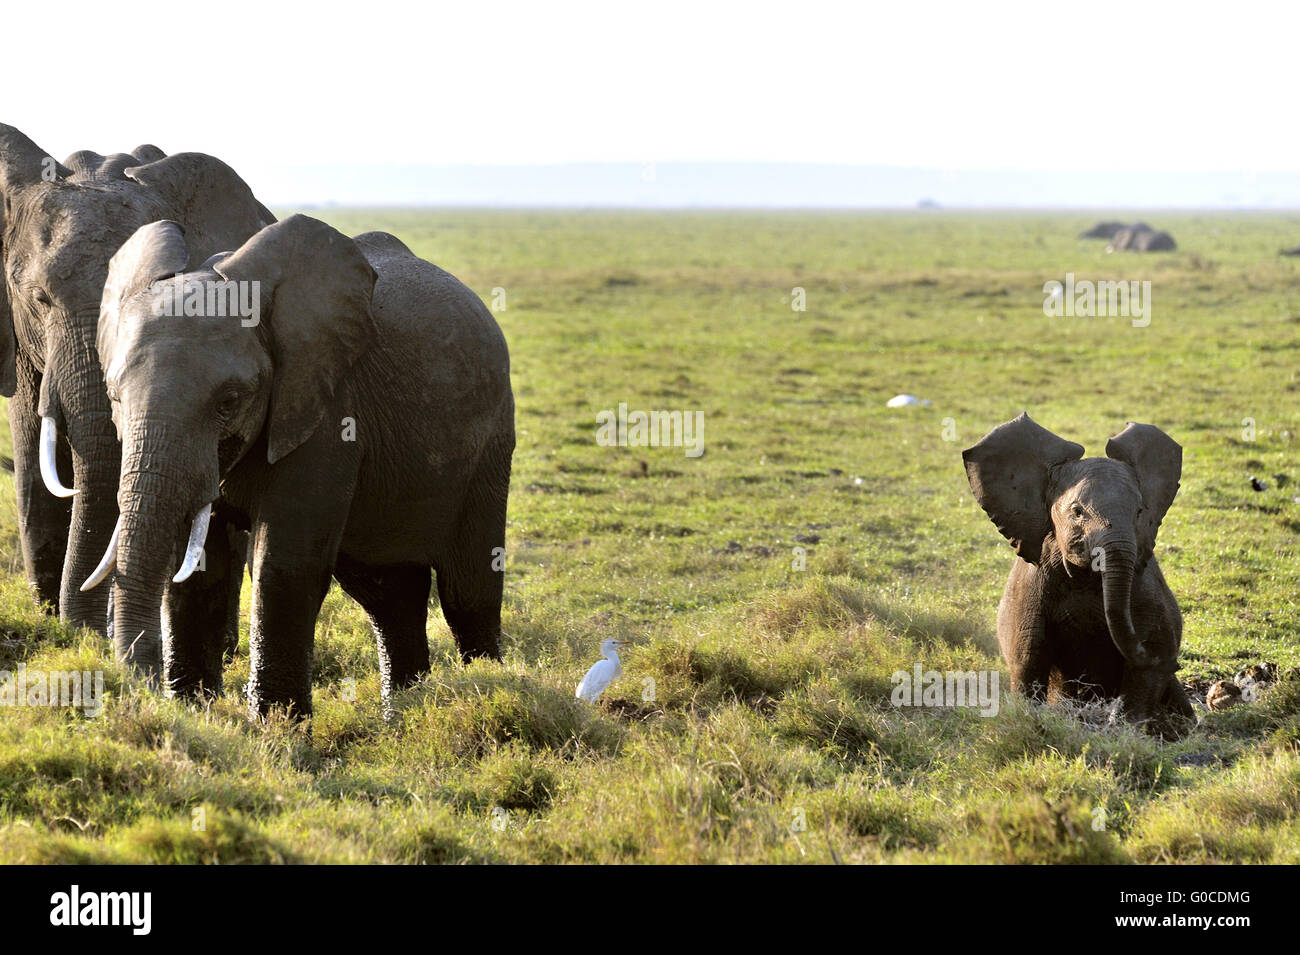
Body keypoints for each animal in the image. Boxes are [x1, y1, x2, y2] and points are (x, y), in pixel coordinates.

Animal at [85, 210, 512, 717]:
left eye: (229, 402)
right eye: (114, 396)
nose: (145, 686)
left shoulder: (326, 410)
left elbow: (284, 565)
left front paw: (276, 723)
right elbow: (196, 569)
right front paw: (199, 711)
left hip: (491, 443)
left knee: (468, 588)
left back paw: (489, 689)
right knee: (388, 593)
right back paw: (405, 712)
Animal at [961, 413, 1190, 738]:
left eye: (1139, 511)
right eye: (1077, 511)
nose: (1176, 664)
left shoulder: (1145, 581)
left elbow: (1151, 665)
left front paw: (1125, 732)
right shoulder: (1032, 586)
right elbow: (1027, 659)